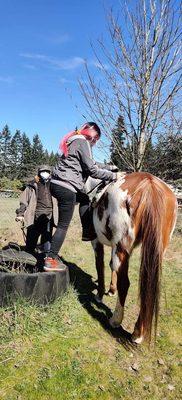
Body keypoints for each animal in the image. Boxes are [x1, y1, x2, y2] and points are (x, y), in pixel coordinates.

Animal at [91, 172, 177, 344]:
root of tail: (150, 185)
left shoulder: (97, 240)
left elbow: (100, 265)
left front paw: (100, 294)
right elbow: (111, 265)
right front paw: (111, 290)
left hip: (122, 247)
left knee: (125, 283)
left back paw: (116, 320)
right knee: (147, 285)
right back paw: (138, 332)